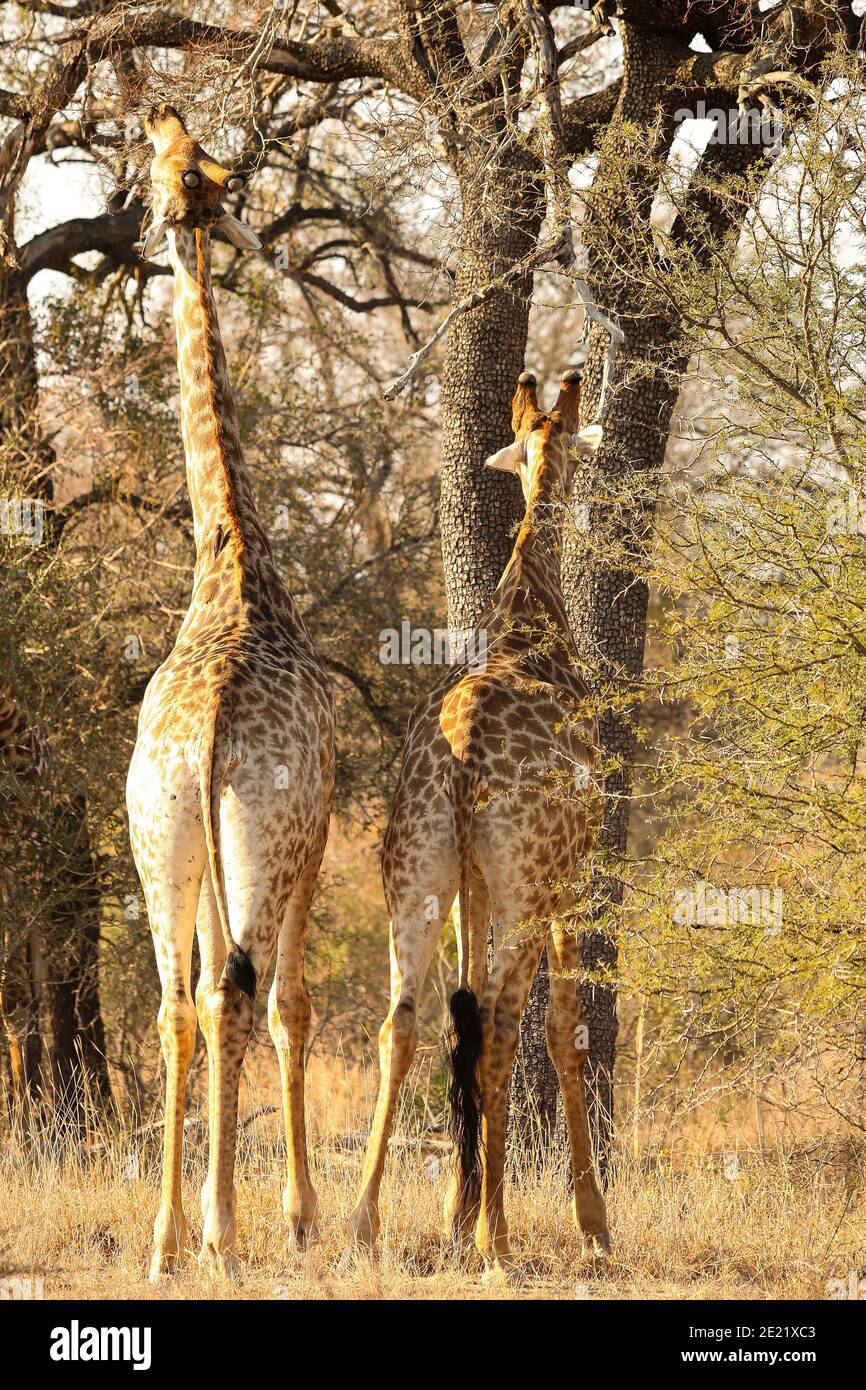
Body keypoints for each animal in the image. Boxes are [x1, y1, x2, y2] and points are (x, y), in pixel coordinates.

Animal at [347, 368, 610, 1270]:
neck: (529, 616)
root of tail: (459, 757)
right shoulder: (572, 881)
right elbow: (565, 1029)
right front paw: (592, 1223)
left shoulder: (472, 887)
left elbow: (452, 1023)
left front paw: (455, 1212)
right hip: (523, 886)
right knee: (497, 1028)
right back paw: (498, 1237)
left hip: (416, 875)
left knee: (401, 1024)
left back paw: (365, 1223)